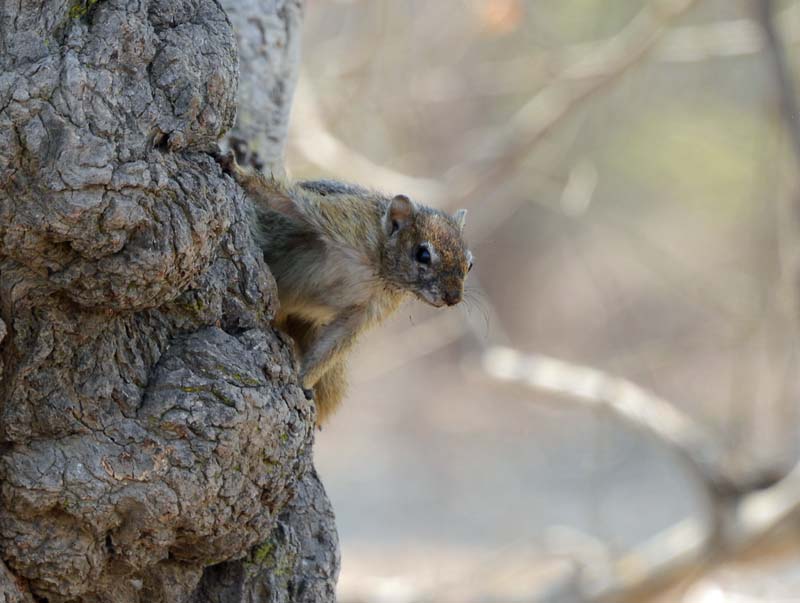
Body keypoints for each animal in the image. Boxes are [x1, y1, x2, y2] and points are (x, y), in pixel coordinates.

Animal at [216, 149, 472, 428]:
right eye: (423, 254)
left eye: (469, 263)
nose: (453, 298)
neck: (376, 270)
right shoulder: (345, 223)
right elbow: (294, 204)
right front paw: (237, 171)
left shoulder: (366, 311)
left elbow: (333, 346)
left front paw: (302, 381)